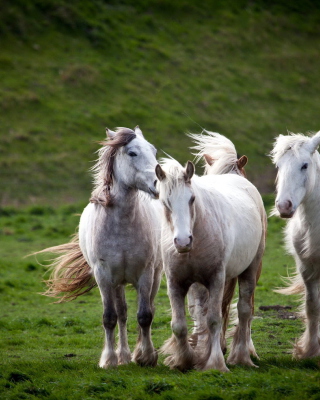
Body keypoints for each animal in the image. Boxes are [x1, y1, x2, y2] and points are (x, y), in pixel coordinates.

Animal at [37, 127, 162, 368]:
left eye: (153, 150)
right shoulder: (103, 275)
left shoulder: (146, 272)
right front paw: (109, 360)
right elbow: (110, 317)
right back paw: (123, 356)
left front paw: (146, 356)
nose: (158, 184)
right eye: (132, 153)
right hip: (117, 282)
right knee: (122, 313)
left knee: (145, 309)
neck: (121, 225)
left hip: (155, 275)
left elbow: (145, 315)